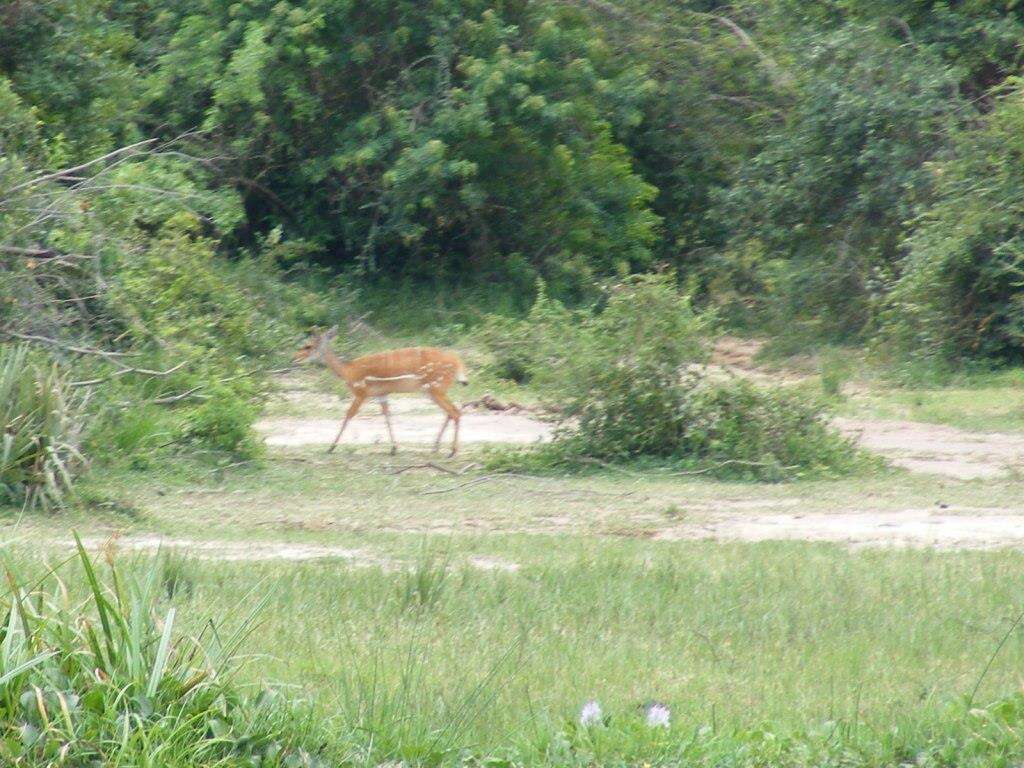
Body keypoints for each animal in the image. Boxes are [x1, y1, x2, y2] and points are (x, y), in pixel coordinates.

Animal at [294, 325, 468, 456]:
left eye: (308, 346)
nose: (295, 358)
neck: (348, 371)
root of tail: (457, 363)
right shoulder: (381, 394)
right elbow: (387, 415)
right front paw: (394, 448)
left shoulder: (361, 392)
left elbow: (349, 415)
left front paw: (331, 447)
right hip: (431, 390)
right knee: (450, 412)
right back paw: (435, 447)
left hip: (435, 387)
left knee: (455, 412)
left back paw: (452, 451)